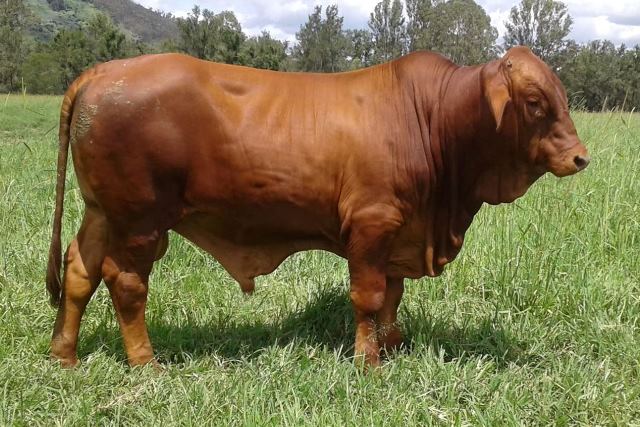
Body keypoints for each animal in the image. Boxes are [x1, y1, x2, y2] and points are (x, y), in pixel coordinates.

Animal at [46, 46, 589, 368]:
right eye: (536, 102)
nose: (580, 157)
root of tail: (102, 71)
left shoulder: (399, 233)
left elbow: (392, 297)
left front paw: (394, 346)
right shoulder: (373, 224)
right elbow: (369, 297)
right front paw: (368, 362)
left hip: (101, 213)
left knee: (79, 272)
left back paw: (64, 355)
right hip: (140, 223)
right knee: (126, 284)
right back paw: (147, 364)